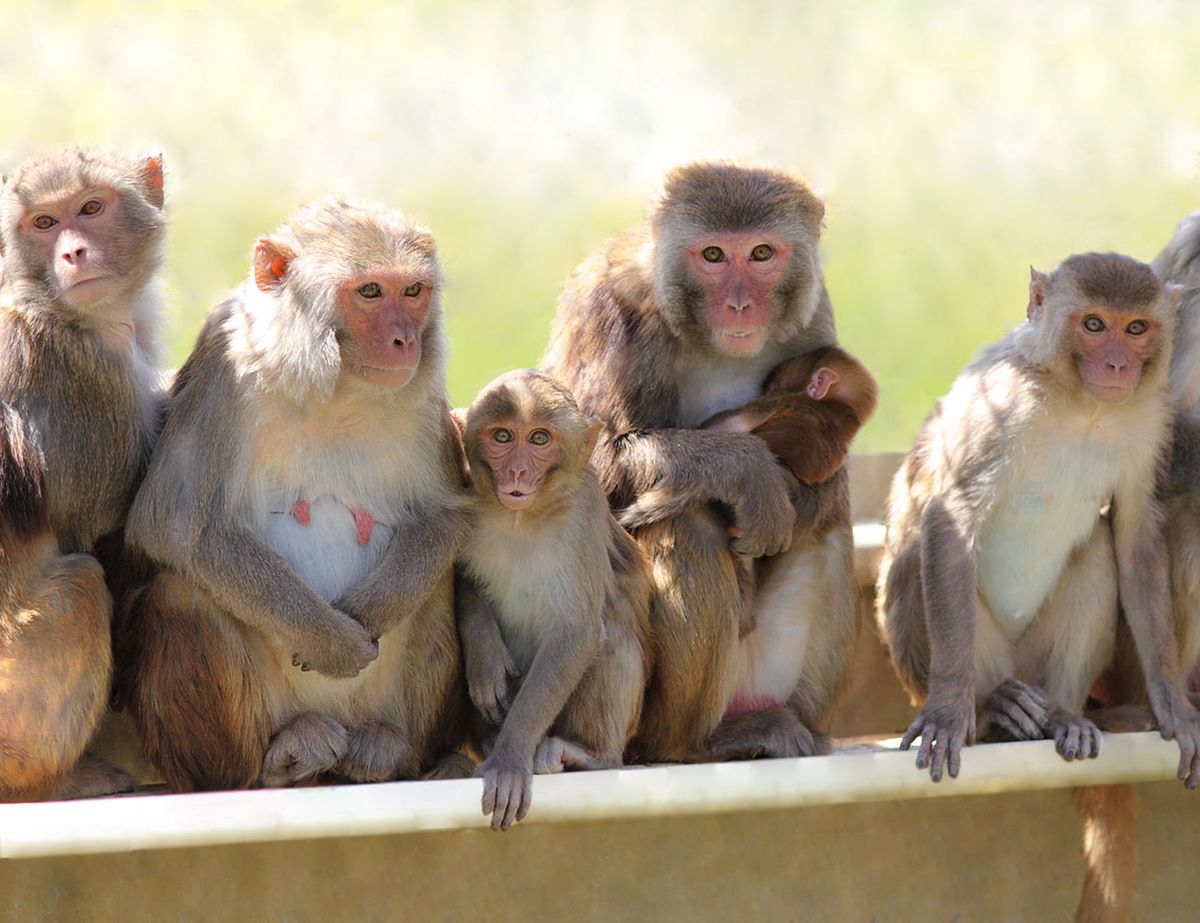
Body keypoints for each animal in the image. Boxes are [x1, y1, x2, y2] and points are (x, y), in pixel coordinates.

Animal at [0, 147, 169, 796]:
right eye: (45, 223)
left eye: (91, 208)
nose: (73, 251)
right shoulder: (85, 385)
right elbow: (115, 521)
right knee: (80, 584)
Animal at [124, 201, 470, 792]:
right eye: (370, 291)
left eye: (413, 291)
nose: (406, 340)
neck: (335, 387)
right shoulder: (223, 366)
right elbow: (176, 527)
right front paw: (330, 639)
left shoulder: (426, 395)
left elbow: (445, 516)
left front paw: (370, 611)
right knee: (183, 591)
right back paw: (277, 759)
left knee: (436, 587)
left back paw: (391, 750)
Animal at [456, 369, 648, 830]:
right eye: (503, 435)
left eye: (540, 438)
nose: (517, 471)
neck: (522, 518)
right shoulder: (467, 502)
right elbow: (461, 581)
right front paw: (485, 654)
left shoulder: (584, 514)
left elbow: (576, 633)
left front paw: (509, 758)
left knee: (609, 632)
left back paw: (589, 756)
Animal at [540, 163, 859, 763]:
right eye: (713, 255)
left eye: (761, 253)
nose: (739, 304)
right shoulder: (612, 312)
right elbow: (582, 460)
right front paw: (746, 472)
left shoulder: (814, 309)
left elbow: (827, 475)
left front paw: (791, 493)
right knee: (688, 522)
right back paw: (696, 746)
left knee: (827, 528)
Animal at [873, 254, 1200, 792]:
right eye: (1094, 324)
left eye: (1135, 328)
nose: (1118, 365)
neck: (1083, 403)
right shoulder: (1003, 402)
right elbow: (951, 515)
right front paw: (948, 710)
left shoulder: (1151, 419)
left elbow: (1135, 536)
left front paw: (1171, 701)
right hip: (984, 654)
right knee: (919, 551)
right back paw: (990, 711)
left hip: (1039, 662)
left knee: (1097, 550)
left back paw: (1064, 716)